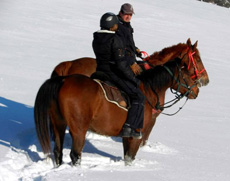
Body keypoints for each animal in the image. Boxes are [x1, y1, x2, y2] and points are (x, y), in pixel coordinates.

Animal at [34, 40, 208, 167]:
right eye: (197, 60)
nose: (201, 85)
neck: (148, 88)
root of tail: (64, 78)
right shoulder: (139, 131)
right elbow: (132, 155)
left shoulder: (127, 135)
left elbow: (126, 156)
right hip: (78, 129)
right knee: (75, 155)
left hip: (59, 124)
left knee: (58, 152)